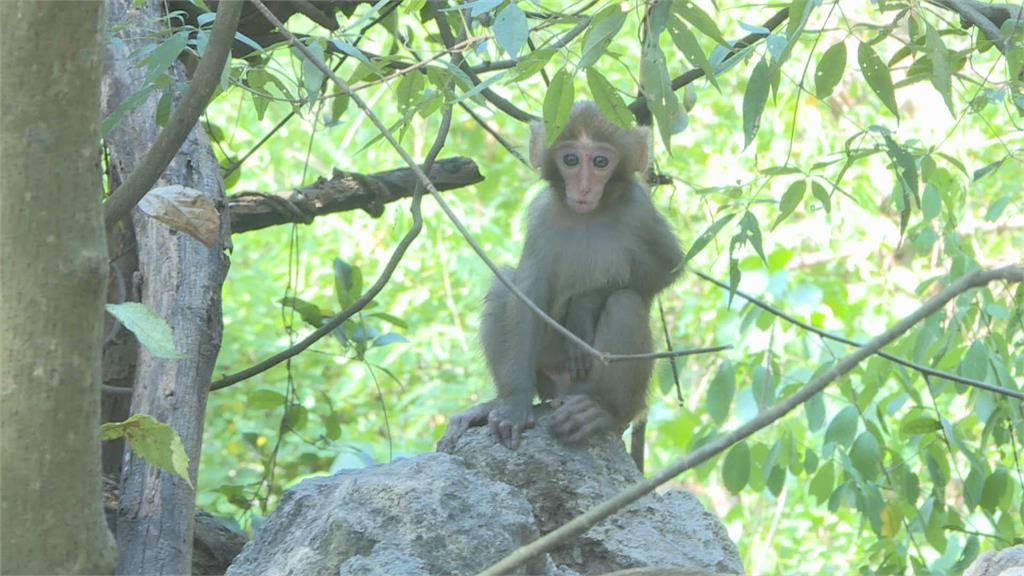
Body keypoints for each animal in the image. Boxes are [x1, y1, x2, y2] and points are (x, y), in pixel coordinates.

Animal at [434, 101, 679, 453]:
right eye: (571, 160)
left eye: (601, 162)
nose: (584, 187)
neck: (590, 215)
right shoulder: (542, 214)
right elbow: (526, 292)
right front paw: (513, 406)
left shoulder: (641, 209)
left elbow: (667, 269)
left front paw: (582, 308)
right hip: (545, 369)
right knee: (502, 283)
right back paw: (497, 402)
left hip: (589, 384)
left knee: (625, 301)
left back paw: (603, 412)